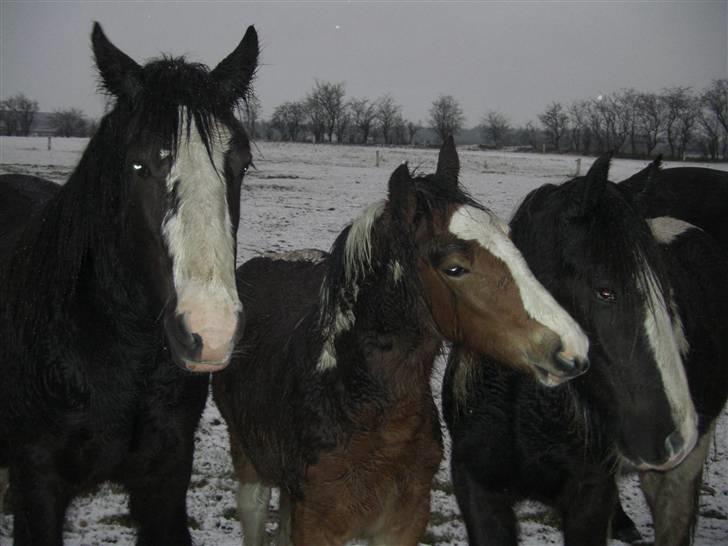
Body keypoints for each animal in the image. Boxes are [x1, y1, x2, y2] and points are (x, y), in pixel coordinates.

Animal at [212, 137, 592, 544]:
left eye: (509, 238)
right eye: (454, 267)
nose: (573, 348)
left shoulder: (405, 521)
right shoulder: (315, 525)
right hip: (250, 467)